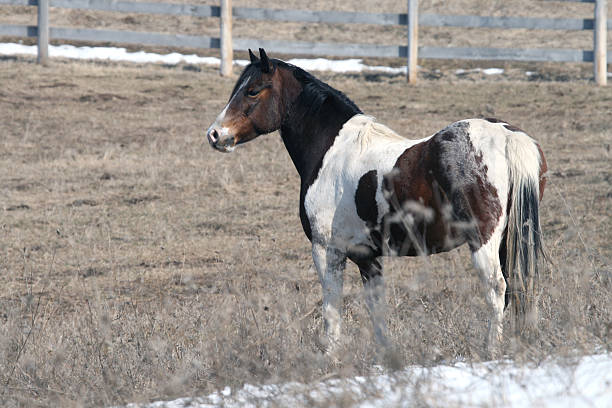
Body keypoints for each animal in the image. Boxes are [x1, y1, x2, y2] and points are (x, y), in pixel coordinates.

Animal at [208, 48, 548, 356]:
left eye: (252, 90)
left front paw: (331, 356)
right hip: (511, 239)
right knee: (519, 285)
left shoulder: (327, 250)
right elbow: (377, 307)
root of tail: (507, 136)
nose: (214, 134)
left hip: (484, 240)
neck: (331, 150)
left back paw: (490, 349)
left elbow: (331, 306)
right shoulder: (367, 257)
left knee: (496, 288)